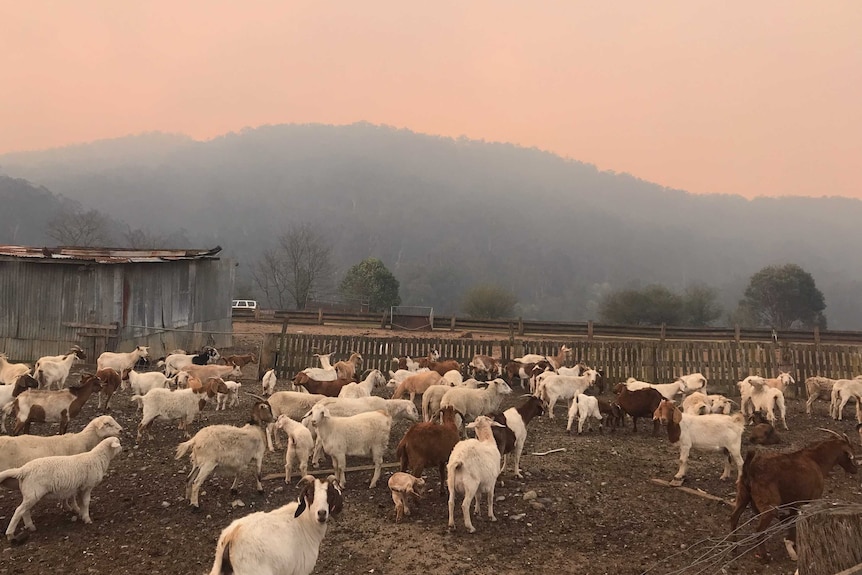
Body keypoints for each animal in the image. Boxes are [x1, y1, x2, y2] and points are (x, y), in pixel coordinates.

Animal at [209, 474, 344, 575]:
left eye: (331, 494)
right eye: (310, 494)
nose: (322, 513)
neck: (305, 521)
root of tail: (231, 537)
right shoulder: (300, 570)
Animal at [732, 430, 860, 560]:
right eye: (851, 452)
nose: (855, 469)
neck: (816, 460)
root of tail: (750, 469)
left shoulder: (795, 503)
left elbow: (791, 520)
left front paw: (791, 545)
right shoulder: (812, 499)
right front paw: (792, 548)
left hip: (742, 496)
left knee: (733, 518)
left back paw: (734, 548)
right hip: (770, 506)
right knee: (759, 530)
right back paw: (765, 557)